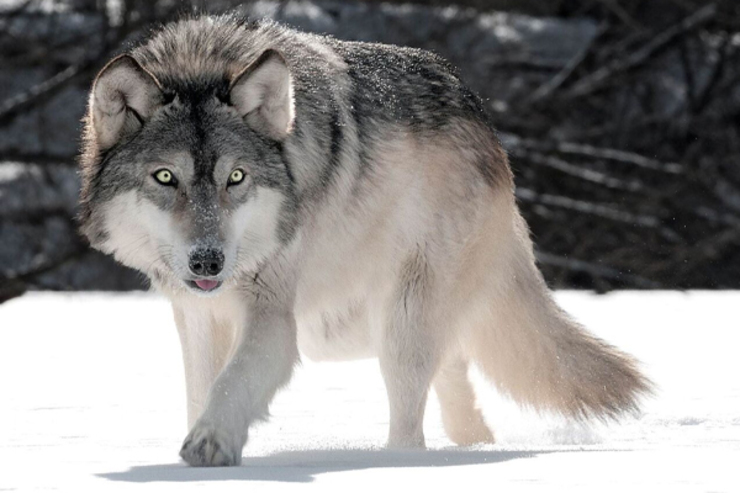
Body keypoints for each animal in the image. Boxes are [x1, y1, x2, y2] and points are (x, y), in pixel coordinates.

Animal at [78, 14, 652, 466]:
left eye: (236, 178)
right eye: (165, 178)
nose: (208, 262)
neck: (201, 62)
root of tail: (490, 134)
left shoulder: (273, 318)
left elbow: (232, 382)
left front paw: (210, 443)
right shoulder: (198, 315)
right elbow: (203, 387)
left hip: (396, 323)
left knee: (412, 423)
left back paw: (400, 465)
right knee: (457, 387)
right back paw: (473, 449)